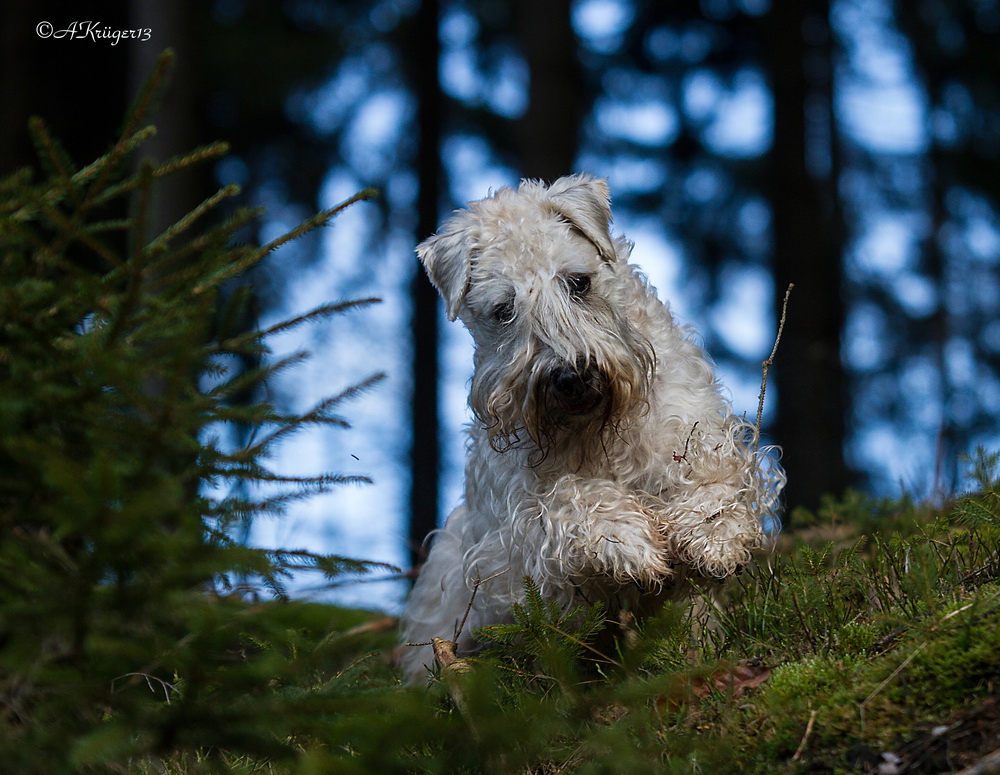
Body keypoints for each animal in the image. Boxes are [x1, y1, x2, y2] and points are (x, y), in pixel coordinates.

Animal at [396, 174, 780, 680]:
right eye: (503, 309)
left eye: (579, 282)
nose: (572, 377)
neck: (602, 435)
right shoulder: (522, 521)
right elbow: (571, 497)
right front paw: (630, 543)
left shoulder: (693, 432)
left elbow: (711, 480)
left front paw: (713, 537)